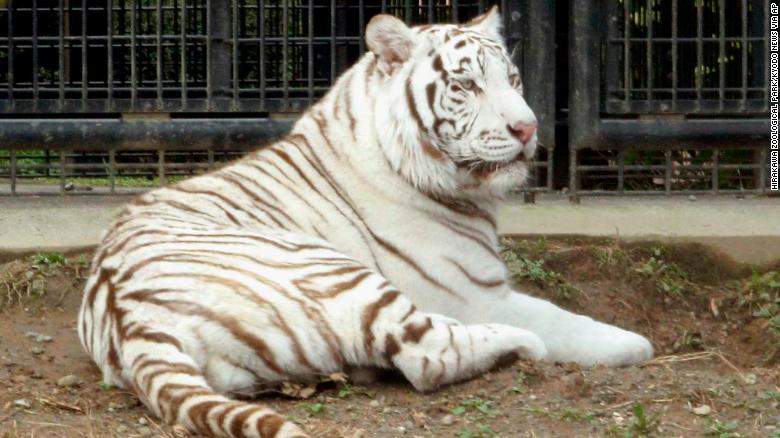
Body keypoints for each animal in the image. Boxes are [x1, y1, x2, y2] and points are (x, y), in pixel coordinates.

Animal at [78, 7, 653, 438]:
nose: (528, 127)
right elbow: (563, 320)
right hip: (338, 272)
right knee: (428, 355)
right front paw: (635, 343)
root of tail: (131, 319)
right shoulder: (475, 295)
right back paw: (518, 344)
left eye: (511, 79)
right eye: (466, 84)